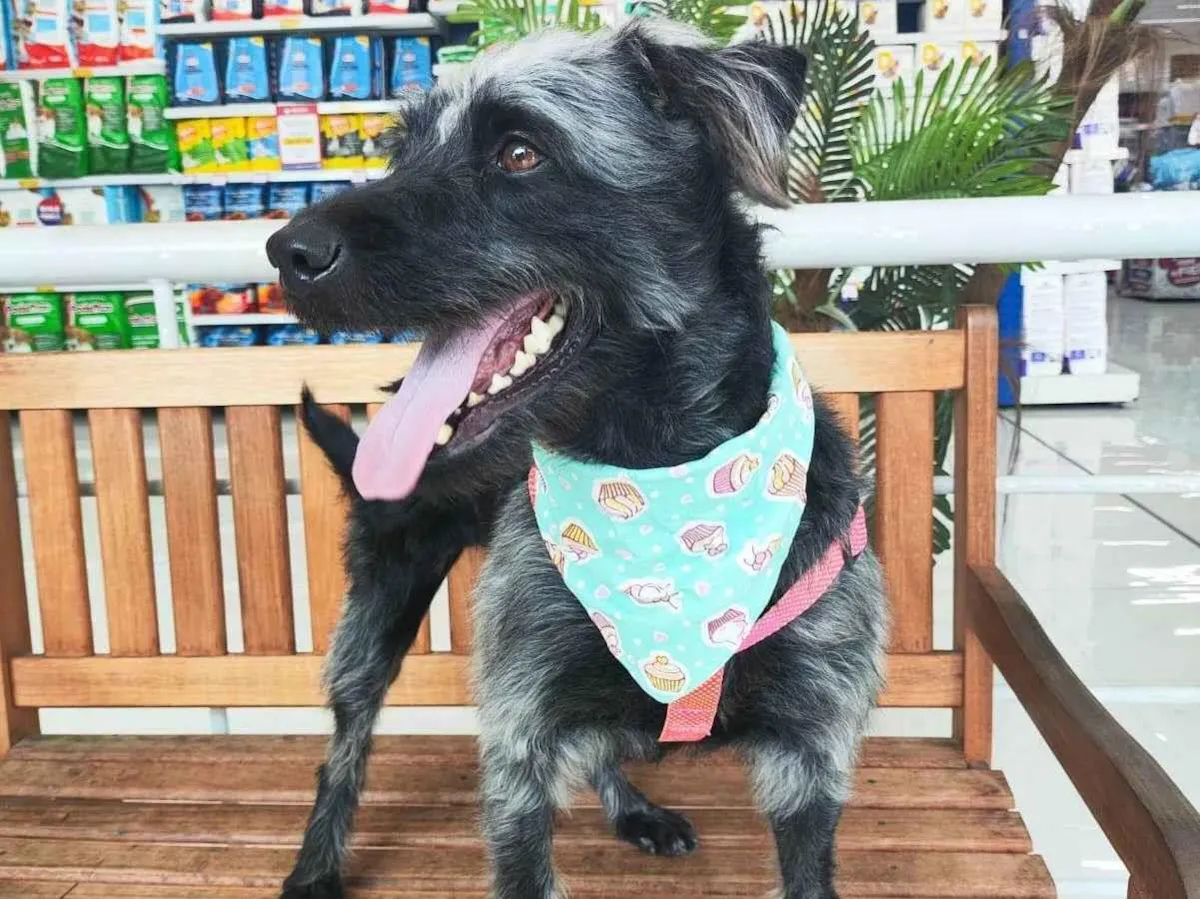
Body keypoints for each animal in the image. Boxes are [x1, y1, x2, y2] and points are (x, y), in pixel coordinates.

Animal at [268, 20, 887, 900]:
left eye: (521, 153)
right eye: (400, 151)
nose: (287, 250)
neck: (656, 470)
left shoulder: (812, 754)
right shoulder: (520, 740)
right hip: (381, 599)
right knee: (346, 741)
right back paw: (316, 866)